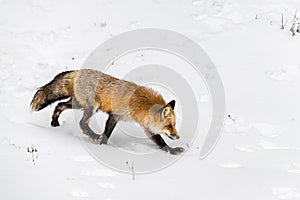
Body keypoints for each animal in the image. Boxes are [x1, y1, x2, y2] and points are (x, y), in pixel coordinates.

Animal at [31, 69, 185, 155]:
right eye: (170, 126)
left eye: (174, 125)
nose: (178, 136)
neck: (141, 104)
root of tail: (78, 71)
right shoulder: (115, 115)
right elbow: (107, 133)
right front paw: (102, 145)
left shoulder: (143, 125)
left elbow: (161, 142)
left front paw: (172, 150)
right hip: (91, 107)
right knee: (82, 123)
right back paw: (93, 135)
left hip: (77, 104)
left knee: (59, 105)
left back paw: (54, 123)